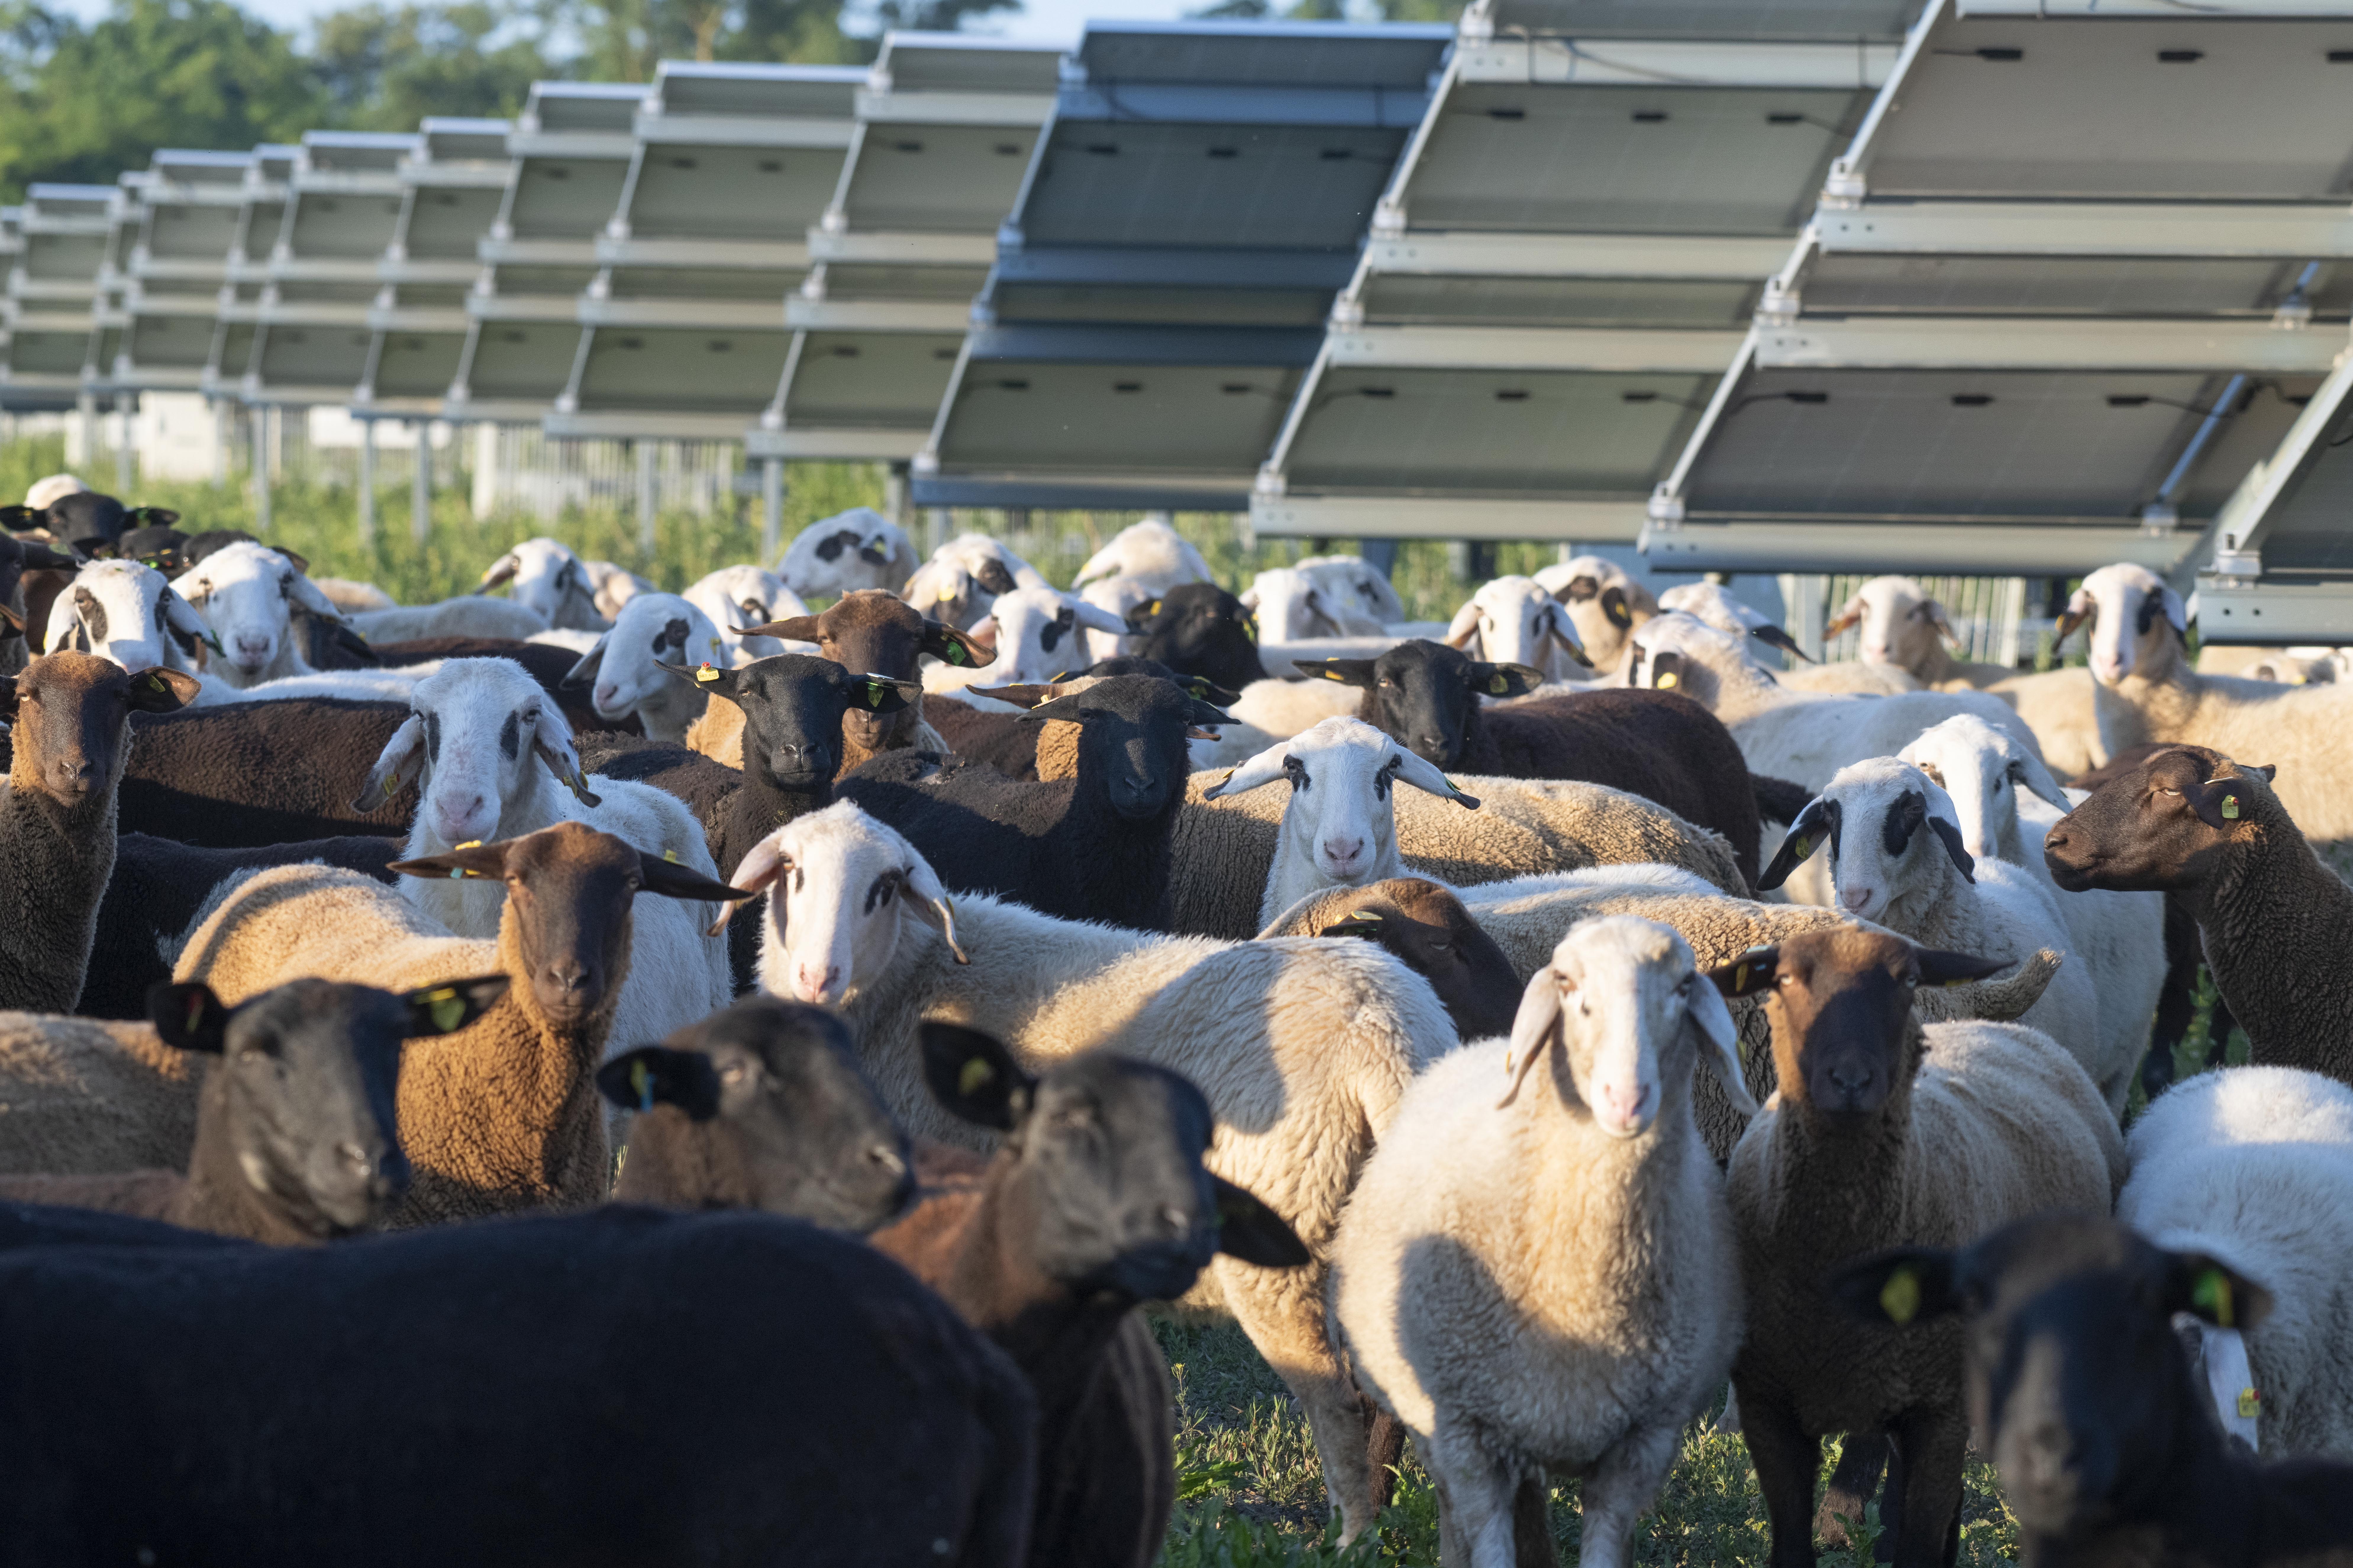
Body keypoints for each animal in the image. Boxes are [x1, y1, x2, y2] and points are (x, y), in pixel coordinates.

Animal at [729, 799, 1458, 1541]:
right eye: (790, 871)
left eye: (882, 888)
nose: (816, 977)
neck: (912, 984)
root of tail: (1386, 1031)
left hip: (1290, 1239)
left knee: (1336, 1399)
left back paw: (1352, 1536)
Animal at [1330, 916, 1756, 1567]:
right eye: (1567, 983)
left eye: (1684, 985)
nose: (1626, 1098)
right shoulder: (1467, 1435)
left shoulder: (1642, 1443)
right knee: (1453, 1512)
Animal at [1720, 926, 2122, 1566]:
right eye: (1782, 978)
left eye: (1907, 979)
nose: (1850, 1081)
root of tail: (2011, 1031)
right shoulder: (1769, 1410)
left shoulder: (1938, 1409)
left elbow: (1918, 1537)